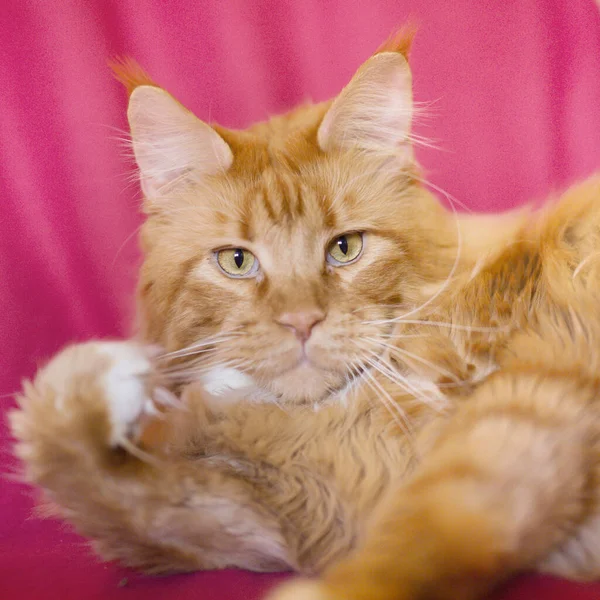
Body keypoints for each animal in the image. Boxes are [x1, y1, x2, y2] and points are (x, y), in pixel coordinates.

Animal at [8, 28, 600, 600]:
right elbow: (99, 485)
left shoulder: (531, 402)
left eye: (345, 248)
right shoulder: (288, 507)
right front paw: (97, 382)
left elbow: (427, 529)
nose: (301, 322)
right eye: (237, 261)